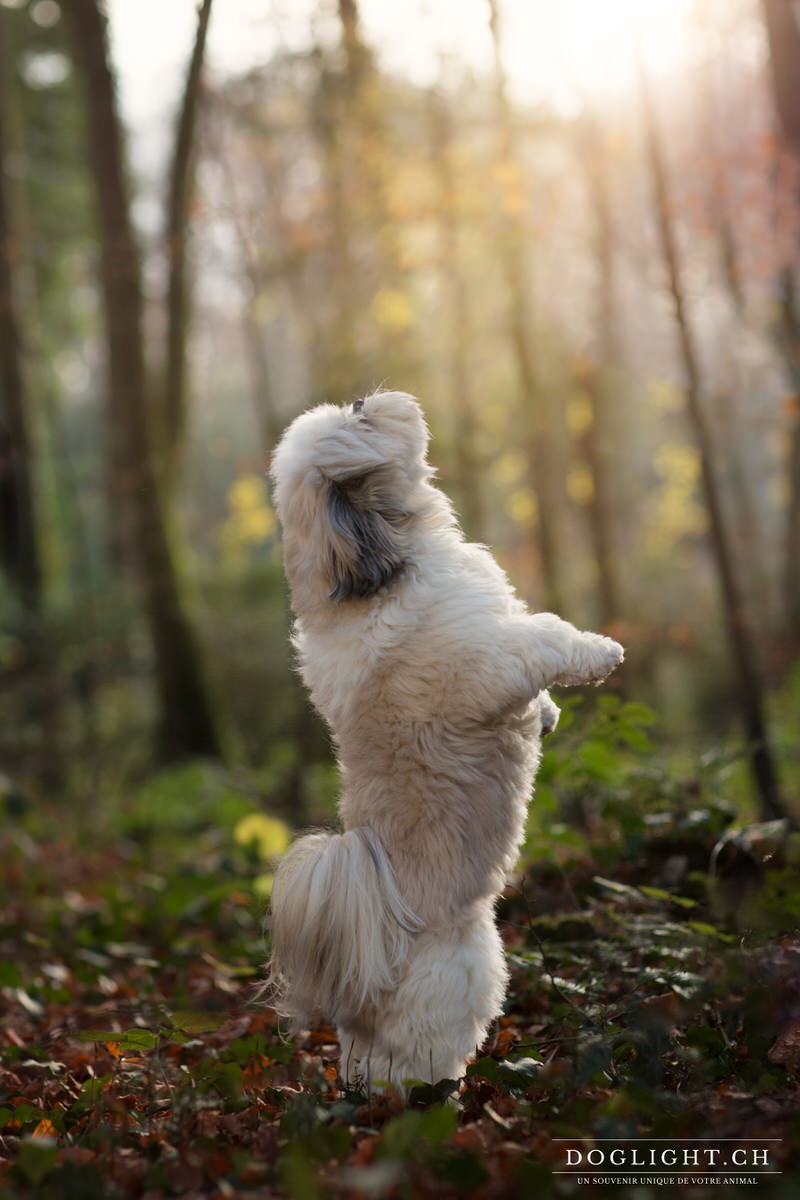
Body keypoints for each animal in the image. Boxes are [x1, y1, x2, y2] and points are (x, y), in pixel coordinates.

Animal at [266, 391, 623, 1089]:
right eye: (361, 419)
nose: (369, 396)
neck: (373, 584)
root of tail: (363, 990)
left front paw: (546, 715)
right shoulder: (491, 661)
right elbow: (545, 637)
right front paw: (599, 653)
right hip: (464, 973)